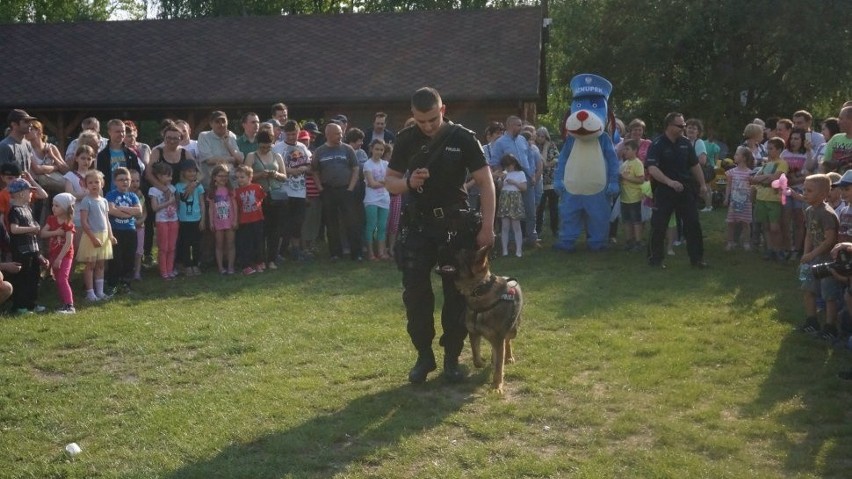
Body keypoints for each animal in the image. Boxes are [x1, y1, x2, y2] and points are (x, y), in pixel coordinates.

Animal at [450, 244, 524, 394]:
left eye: (456, 254)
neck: (479, 291)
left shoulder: (498, 338)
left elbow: (498, 367)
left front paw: (497, 386)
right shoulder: (473, 333)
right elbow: (475, 357)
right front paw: (482, 362)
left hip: (512, 330)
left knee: (508, 341)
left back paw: (509, 357)